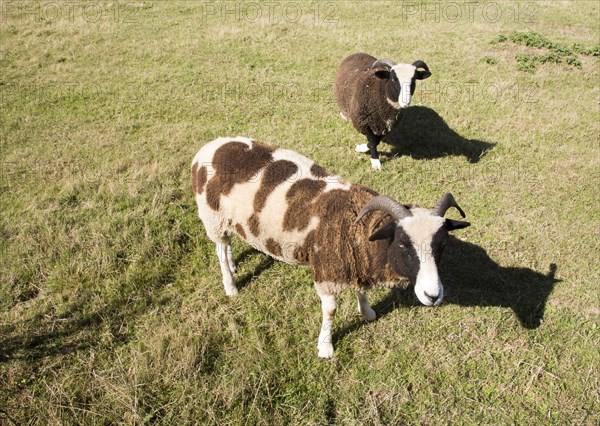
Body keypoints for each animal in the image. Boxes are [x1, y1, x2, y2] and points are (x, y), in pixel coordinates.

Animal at [192, 138, 468, 358]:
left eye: (442, 245)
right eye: (402, 243)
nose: (433, 295)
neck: (357, 223)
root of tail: (211, 145)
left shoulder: (357, 261)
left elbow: (361, 290)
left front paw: (367, 312)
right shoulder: (326, 270)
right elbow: (331, 311)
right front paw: (325, 347)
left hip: (227, 221)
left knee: (227, 244)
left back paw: (233, 265)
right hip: (213, 217)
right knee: (219, 249)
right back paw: (230, 285)